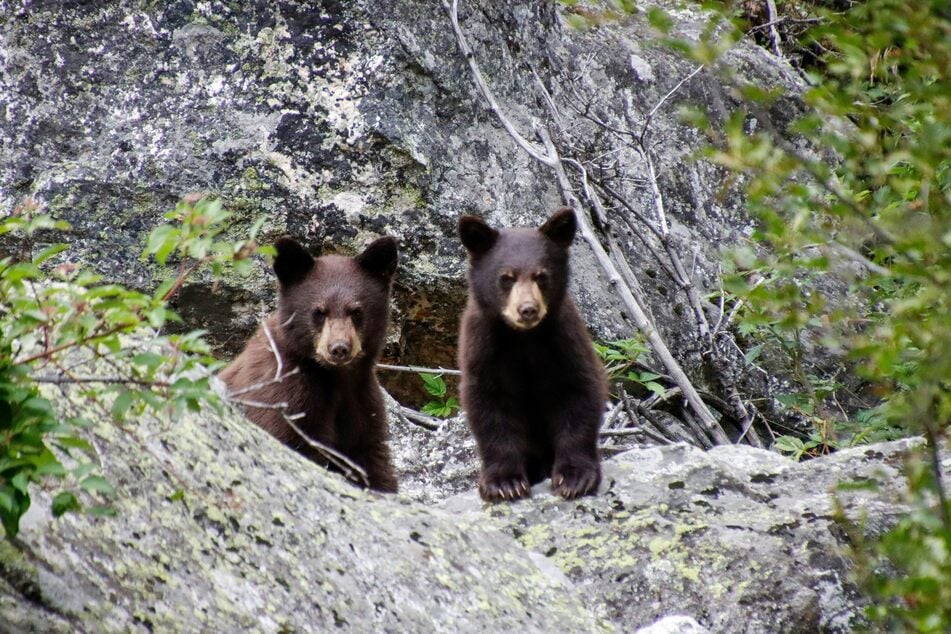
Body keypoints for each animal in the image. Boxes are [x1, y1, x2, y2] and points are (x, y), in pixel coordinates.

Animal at [219, 235, 399, 493]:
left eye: (356, 311)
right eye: (319, 312)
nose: (339, 348)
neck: (335, 378)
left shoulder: (362, 400)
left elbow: (371, 460)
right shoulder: (282, 394)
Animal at [457, 207, 607, 502]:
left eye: (541, 276)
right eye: (506, 277)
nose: (527, 309)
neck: (523, 339)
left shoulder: (565, 343)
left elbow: (580, 395)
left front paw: (575, 476)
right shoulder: (483, 350)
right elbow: (489, 409)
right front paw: (504, 482)